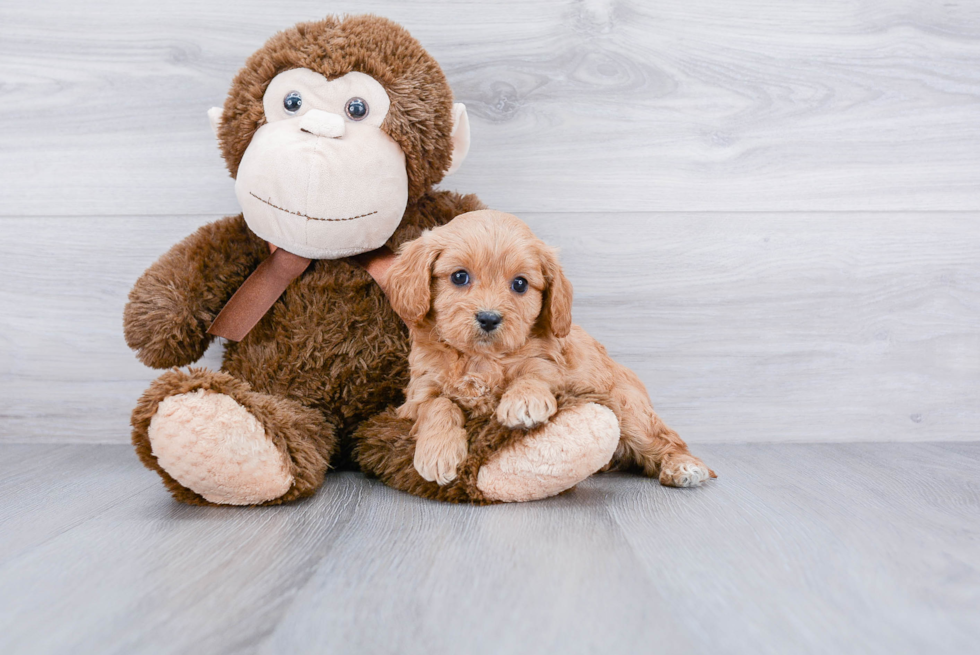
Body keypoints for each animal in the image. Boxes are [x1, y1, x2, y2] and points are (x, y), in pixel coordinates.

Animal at [386, 209, 716, 486]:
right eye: (459, 277)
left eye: (520, 284)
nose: (489, 318)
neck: (482, 358)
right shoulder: (417, 395)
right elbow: (438, 405)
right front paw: (438, 452)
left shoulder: (549, 366)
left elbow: (533, 374)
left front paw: (524, 400)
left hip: (628, 408)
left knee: (665, 439)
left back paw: (684, 466)